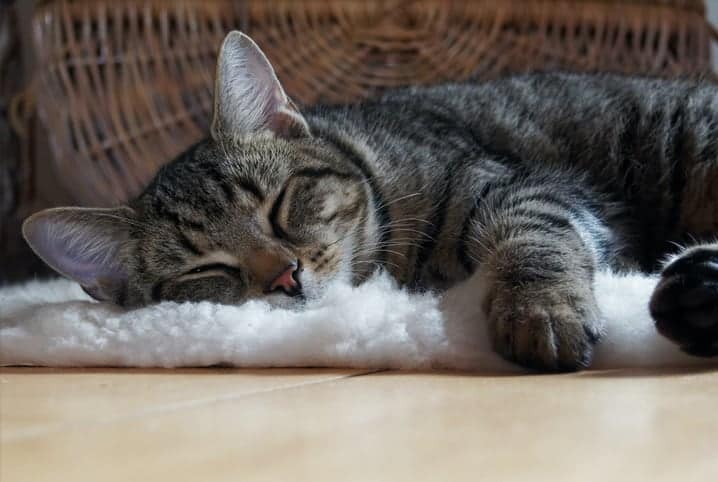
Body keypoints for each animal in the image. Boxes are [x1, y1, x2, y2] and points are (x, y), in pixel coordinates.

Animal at [22, 31, 718, 370]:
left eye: (278, 204)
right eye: (205, 269)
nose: (286, 276)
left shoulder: (520, 185)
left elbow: (532, 237)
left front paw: (539, 310)